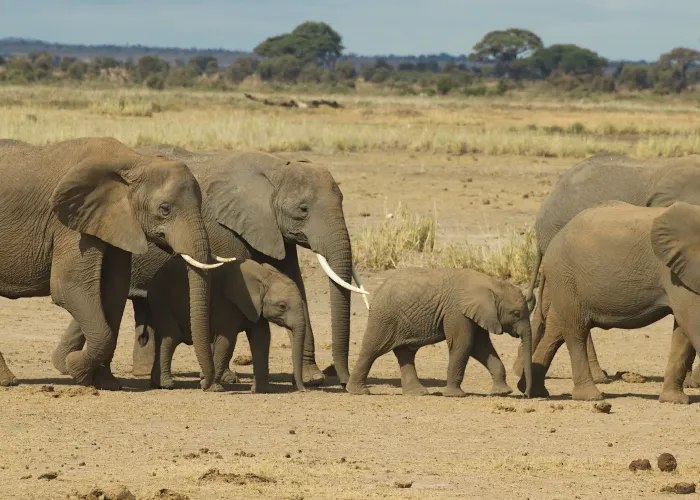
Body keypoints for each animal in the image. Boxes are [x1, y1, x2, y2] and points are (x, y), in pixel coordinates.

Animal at [0, 137, 227, 390]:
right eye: (165, 209)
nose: (206, 384)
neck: (134, 161)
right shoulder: (70, 223)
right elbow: (68, 287)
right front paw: (75, 368)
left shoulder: (114, 220)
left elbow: (114, 292)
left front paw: (106, 383)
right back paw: (9, 381)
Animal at [145, 257, 306, 392]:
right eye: (282, 306)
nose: (303, 390)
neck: (264, 275)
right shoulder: (226, 304)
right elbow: (226, 341)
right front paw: (213, 389)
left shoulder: (256, 308)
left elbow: (261, 339)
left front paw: (260, 391)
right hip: (161, 300)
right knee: (171, 338)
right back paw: (167, 384)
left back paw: (158, 383)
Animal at [346, 268, 533, 398]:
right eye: (516, 314)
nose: (526, 394)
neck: (491, 284)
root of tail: (379, 288)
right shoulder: (457, 312)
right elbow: (463, 345)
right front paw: (455, 395)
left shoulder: (477, 314)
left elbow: (482, 348)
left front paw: (502, 393)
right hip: (384, 317)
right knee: (371, 350)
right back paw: (359, 392)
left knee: (405, 353)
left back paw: (417, 393)